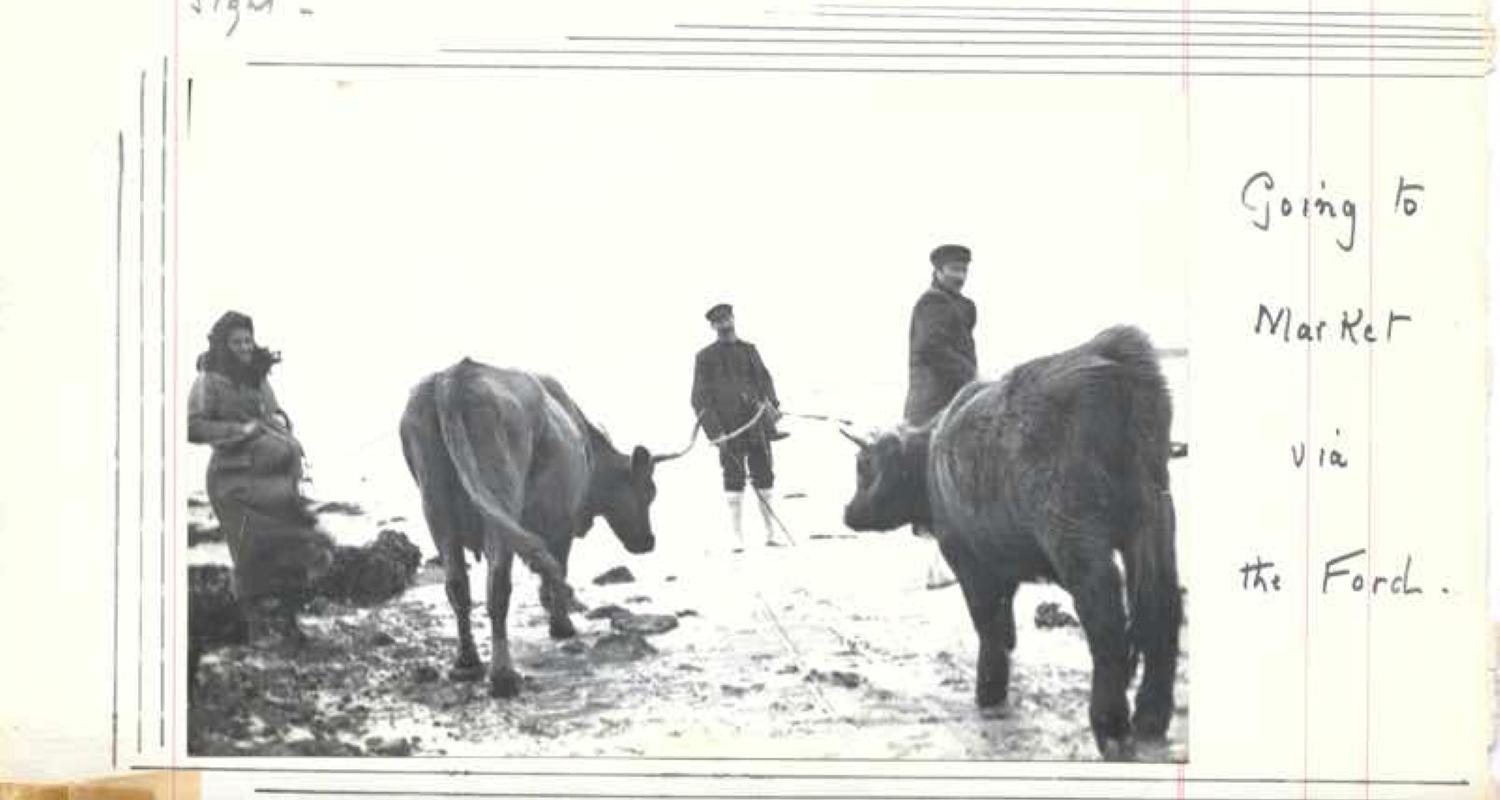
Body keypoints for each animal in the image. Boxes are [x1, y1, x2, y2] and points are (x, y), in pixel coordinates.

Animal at [405, 358, 675, 696]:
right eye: (649, 491)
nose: (649, 541)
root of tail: (453, 379)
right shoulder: (563, 521)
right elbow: (559, 567)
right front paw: (561, 625)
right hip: (502, 497)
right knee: (498, 586)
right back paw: (503, 675)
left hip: (436, 508)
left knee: (457, 585)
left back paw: (467, 662)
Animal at [846, 325, 1182, 762]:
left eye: (862, 466)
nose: (848, 512)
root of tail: (1112, 355)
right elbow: (1005, 632)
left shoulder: (971, 563)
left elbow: (989, 629)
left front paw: (988, 693)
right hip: (1154, 521)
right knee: (1162, 606)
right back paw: (1150, 718)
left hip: (1075, 532)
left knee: (1105, 618)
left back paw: (1111, 727)